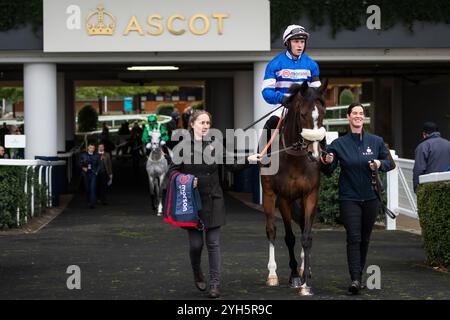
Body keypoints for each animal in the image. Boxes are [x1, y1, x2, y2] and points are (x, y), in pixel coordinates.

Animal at [260, 80, 326, 296]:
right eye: (303, 114)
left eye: (323, 113)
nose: (314, 154)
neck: (296, 159)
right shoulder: (283, 197)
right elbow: (289, 237)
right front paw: (296, 276)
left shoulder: (310, 195)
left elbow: (307, 236)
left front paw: (306, 283)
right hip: (269, 195)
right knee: (271, 230)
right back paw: (273, 274)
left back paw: (305, 268)